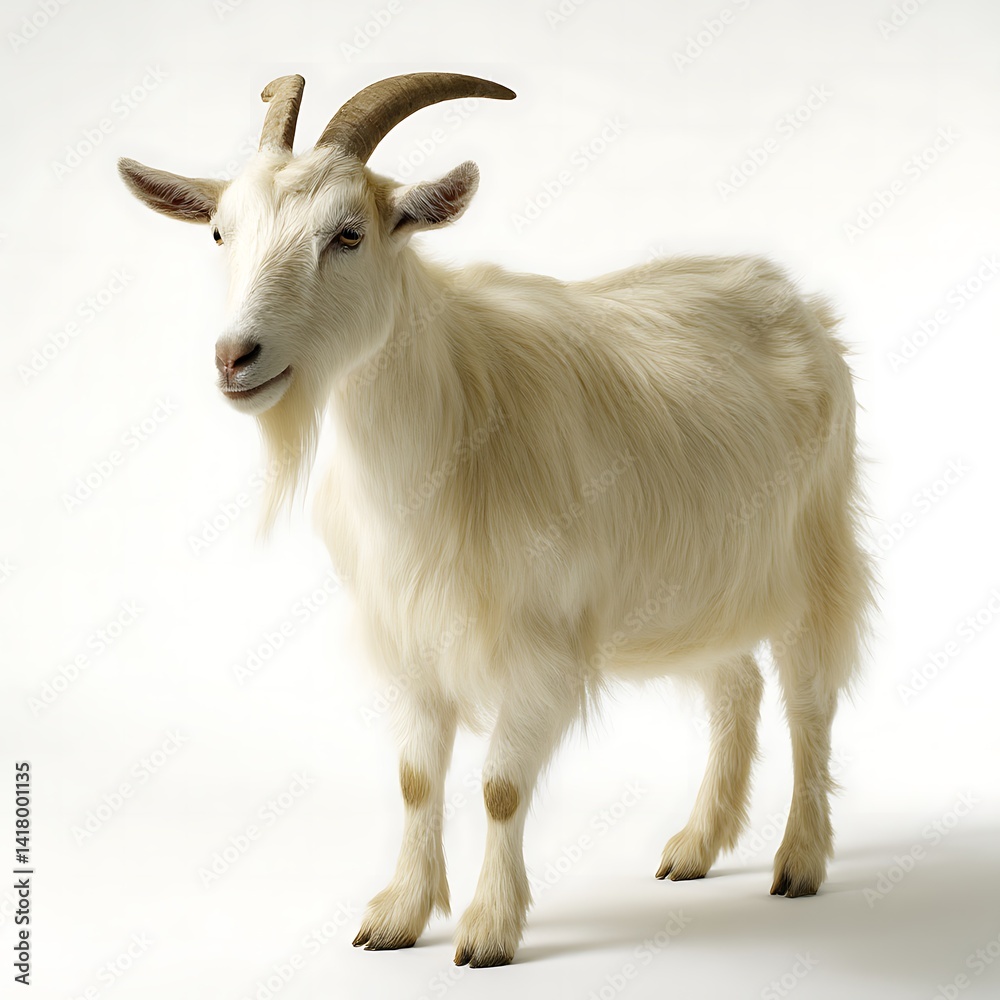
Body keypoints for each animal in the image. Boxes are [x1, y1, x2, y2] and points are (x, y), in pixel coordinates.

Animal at [118, 72, 874, 968]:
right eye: (220, 232)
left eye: (348, 235)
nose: (235, 357)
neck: (446, 431)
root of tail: (791, 295)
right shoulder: (411, 634)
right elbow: (416, 780)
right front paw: (399, 916)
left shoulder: (536, 638)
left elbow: (501, 788)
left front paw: (487, 930)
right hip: (693, 587)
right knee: (736, 686)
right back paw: (696, 846)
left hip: (812, 553)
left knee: (809, 702)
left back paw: (800, 861)